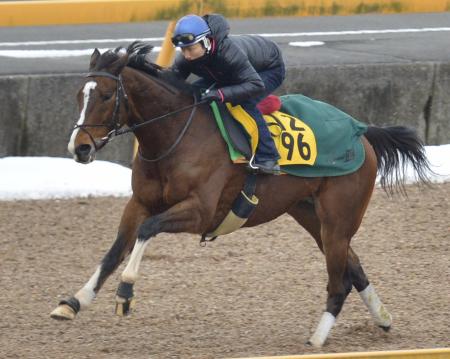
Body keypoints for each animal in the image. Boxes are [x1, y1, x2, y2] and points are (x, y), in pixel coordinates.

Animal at [50, 42, 432, 348]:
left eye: (105, 96)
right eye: (78, 95)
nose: (79, 148)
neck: (175, 134)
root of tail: (362, 130)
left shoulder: (200, 211)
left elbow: (147, 231)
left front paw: (125, 293)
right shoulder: (139, 203)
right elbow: (115, 251)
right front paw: (73, 302)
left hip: (339, 218)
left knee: (339, 283)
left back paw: (317, 338)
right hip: (311, 216)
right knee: (355, 269)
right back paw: (382, 318)